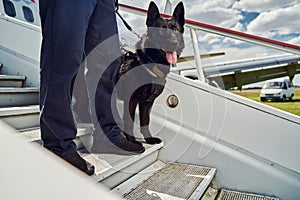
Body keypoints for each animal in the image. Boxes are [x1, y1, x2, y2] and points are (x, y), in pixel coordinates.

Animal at [115, 1, 184, 145]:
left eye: (175, 30)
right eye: (161, 30)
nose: (173, 43)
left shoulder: (147, 103)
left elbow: (145, 121)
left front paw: (149, 138)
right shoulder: (131, 99)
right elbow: (129, 121)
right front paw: (132, 140)